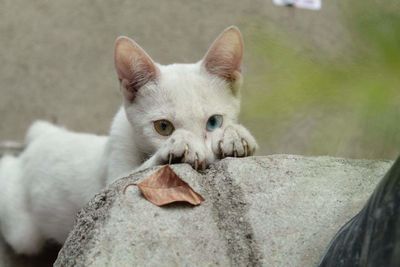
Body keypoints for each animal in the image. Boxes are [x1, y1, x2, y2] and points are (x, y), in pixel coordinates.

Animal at [0, 26, 256, 255]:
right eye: (163, 127)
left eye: (214, 122)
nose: (209, 160)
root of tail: (40, 138)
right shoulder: (107, 188)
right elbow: (129, 176)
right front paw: (181, 145)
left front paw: (235, 135)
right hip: (25, 232)